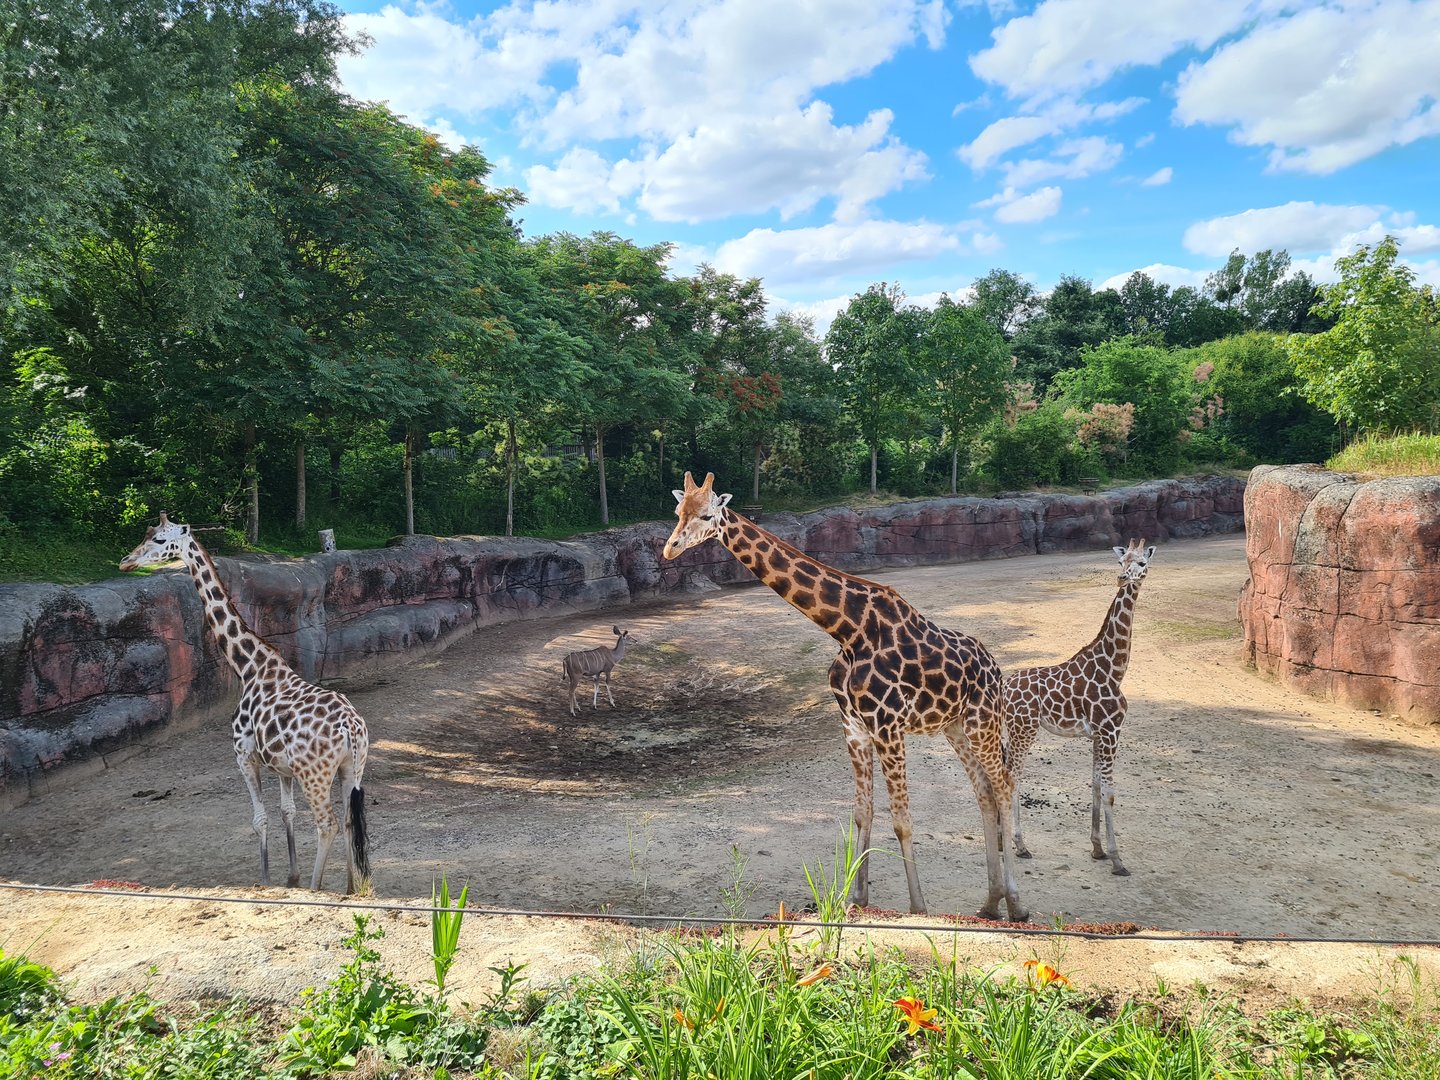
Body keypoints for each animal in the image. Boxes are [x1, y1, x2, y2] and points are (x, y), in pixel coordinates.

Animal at [119, 513, 371, 893]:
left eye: (161, 540)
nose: (126, 561)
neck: (248, 666)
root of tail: (351, 728)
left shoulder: (244, 755)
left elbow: (259, 818)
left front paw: (267, 881)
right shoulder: (282, 767)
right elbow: (286, 811)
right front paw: (291, 877)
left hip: (315, 774)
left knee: (326, 823)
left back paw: (317, 888)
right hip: (351, 769)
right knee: (347, 821)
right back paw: (350, 889)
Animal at [663, 472, 1026, 921]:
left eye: (707, 515)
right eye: (678, 511)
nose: (669, 548)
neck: (848, 631)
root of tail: (995, 667)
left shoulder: (888, 727)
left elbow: (902, 819)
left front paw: (918, 908)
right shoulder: (854, 726)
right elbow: (861, 813)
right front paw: (858, 899)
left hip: (983, 721)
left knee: (1004, 786)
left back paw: (1016, 904)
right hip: (954, 727)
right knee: (985, 794)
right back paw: (990, 904)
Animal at [1001, 538, 1156, 876]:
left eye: (1141, 563)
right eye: (1121, 561)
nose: (1122, 578)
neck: (1115, 668)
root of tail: (1002, 688)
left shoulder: (1098, 735)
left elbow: (1095, 786)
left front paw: (1097, 849)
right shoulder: (1111, 731)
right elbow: (1110, 793)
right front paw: (1117, 860)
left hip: (1012, 729)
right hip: (1024, 729)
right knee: (1011, 776)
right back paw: (1018, 845)